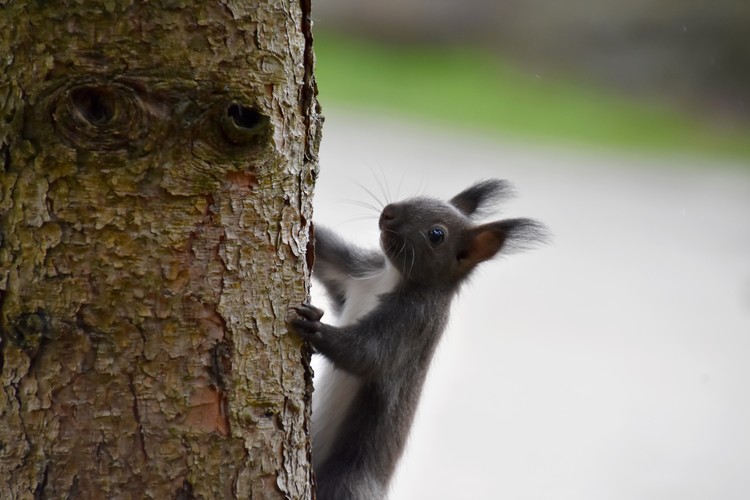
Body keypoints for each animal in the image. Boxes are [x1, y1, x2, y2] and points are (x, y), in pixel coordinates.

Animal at [292, 180, 548, 500]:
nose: (389, 212)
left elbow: (368, 354)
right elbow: (327, 260)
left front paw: (315, 328)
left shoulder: (413, 322)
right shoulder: (358, 272)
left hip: (345, 482)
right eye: (423, 197)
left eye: (437, 235)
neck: (391, 277)